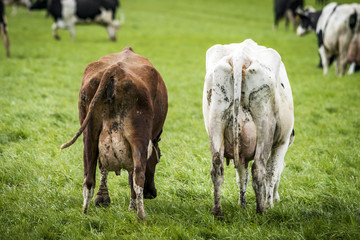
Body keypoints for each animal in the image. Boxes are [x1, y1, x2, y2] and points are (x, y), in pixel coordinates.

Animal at [61, 47, 168, 221]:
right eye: (157, 161)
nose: (152, 194)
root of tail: (115, 70)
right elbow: (131, 176)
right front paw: (131, 207)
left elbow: (102, 168)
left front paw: (102, 199)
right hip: (139, 137)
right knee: (138, 175)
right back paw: (141, 216)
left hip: (89, 134)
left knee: (88, 179)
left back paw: (85, 212)